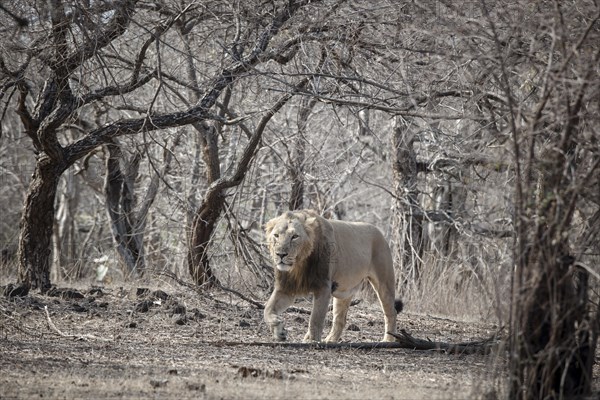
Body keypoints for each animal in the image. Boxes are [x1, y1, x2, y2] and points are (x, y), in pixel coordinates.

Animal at [264, 208, 400, 342]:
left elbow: (316, 318)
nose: (280, 254)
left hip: (384, 284)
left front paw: (312, 341)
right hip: (344, 292)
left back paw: (388, 340)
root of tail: (379, 231)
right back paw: (330, 340)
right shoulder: (286, 288)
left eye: (295, 236)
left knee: (391, 312)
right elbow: (268, 309)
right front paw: (279, 330)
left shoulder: (323, 287)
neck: (299, 265)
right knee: (340, 319)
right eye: (276, 235)